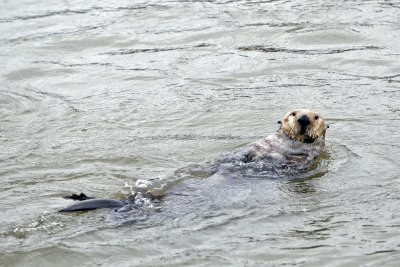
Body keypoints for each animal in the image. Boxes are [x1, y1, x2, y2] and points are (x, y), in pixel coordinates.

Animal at [59, 109, 328, 214]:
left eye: (316, 116)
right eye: (293, 113)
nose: (304, 118)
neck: (286, 147)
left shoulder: (306, 159)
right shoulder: (259, 144)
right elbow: (243, 154)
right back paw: (78, 196)